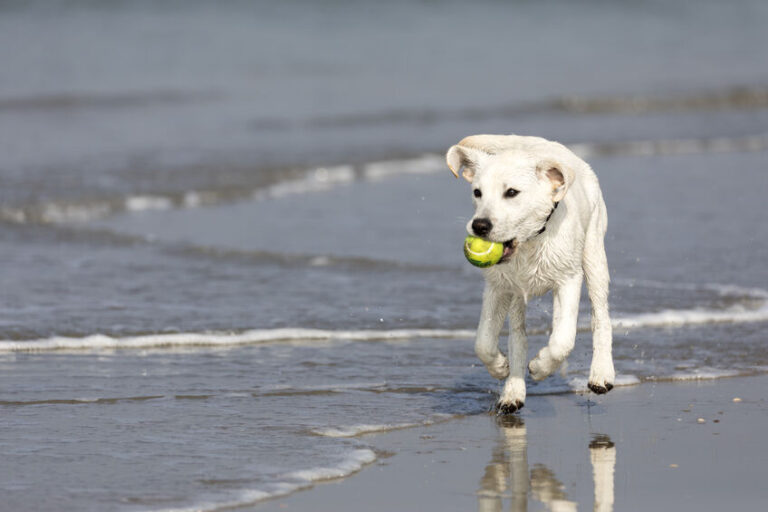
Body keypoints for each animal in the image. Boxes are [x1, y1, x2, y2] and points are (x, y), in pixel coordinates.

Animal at [448, 134, 616, 414]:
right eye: (477, 192)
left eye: (511, 192)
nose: (480, 226)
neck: (529, 243)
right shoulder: (497, 286)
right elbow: (483, 342)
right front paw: (500, 367)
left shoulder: (568, 279)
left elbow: (562, 341)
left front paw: (539, 367)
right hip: (517, 293)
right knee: (518, 335)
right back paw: (513, 391)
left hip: (594, 254)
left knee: (600, 315)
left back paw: (602, 374)